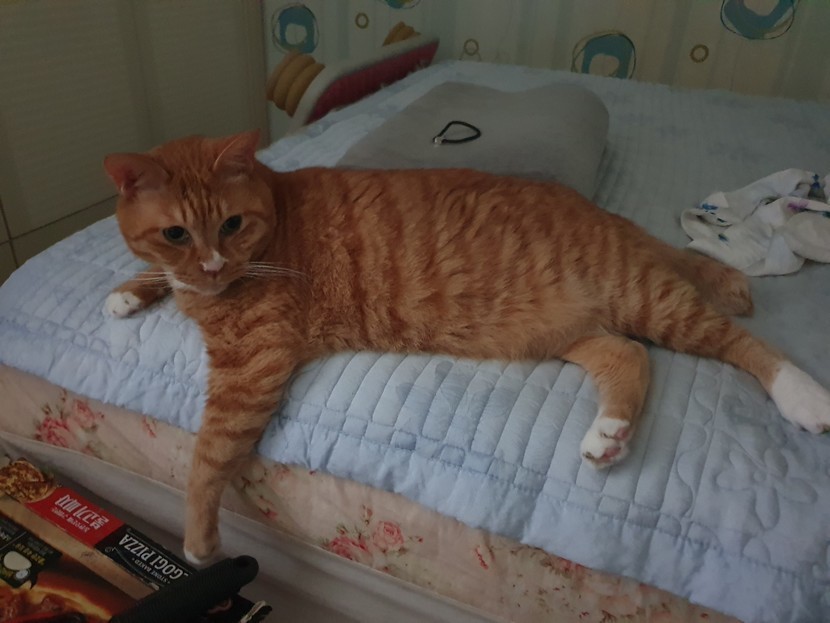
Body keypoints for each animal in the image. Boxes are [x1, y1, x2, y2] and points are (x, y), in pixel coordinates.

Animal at [103, 130, 830, 565]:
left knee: (740, 342)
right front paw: (130, 291)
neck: (271, 215)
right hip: (575, 333)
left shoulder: (250, 370)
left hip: (646, 298)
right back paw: (608, 434)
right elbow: (151, 275)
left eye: (231, 224)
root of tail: (607, 217)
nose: (212, 266)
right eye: (175, 233)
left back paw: (803, 395)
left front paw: (199, 541)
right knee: (631, 356)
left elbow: (205, 460)